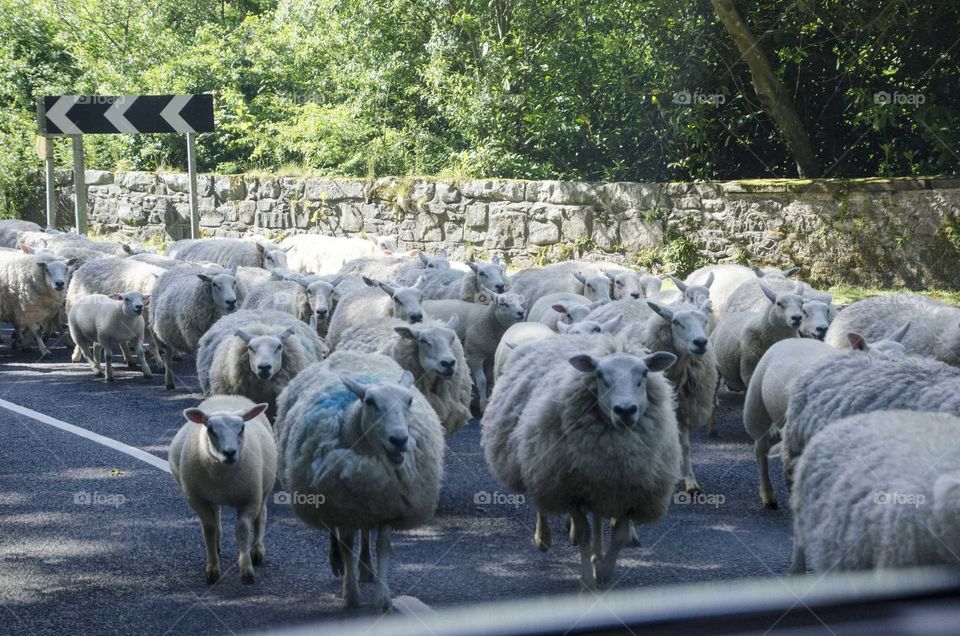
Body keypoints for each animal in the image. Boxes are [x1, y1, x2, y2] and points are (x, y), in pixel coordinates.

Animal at [170, 396, 276, 584]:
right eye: (210, 429)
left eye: (242, 428)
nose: (229, 452)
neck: (223, 475)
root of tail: (227, 396)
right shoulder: (198, 500)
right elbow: (209, 528)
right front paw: (212, 569)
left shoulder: (249, 498)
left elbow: (243, 529)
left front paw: (246, 570)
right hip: (211, 495)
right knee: (217, 516)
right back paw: (219, 546)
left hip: (264, 488)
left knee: (260, 516)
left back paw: (257, 551)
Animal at [274, 350, 444, 611]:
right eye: (370, 402)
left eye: (409, 401)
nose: (399, 439)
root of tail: (350, 353)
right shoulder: (342, 505)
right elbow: (346, 542)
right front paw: (351, 594)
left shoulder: (389, 506)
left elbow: (381, 546)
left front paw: (382, 599)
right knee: (335, 531)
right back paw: (338, 562)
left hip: (367, 503)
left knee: (364, 532)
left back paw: (365, 567)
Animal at [481, 334, 680, 588]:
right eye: (600, 375)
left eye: (644, 373)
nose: (625, 410)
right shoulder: (570, 490)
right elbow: (584, 532)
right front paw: (588, 579)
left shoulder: (632, 491)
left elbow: (620, 536)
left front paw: (604, 570)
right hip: (540, 463)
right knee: (541, 502)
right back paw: (543, 538)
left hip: (594, 482)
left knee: (597, 516)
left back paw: (597, 554)